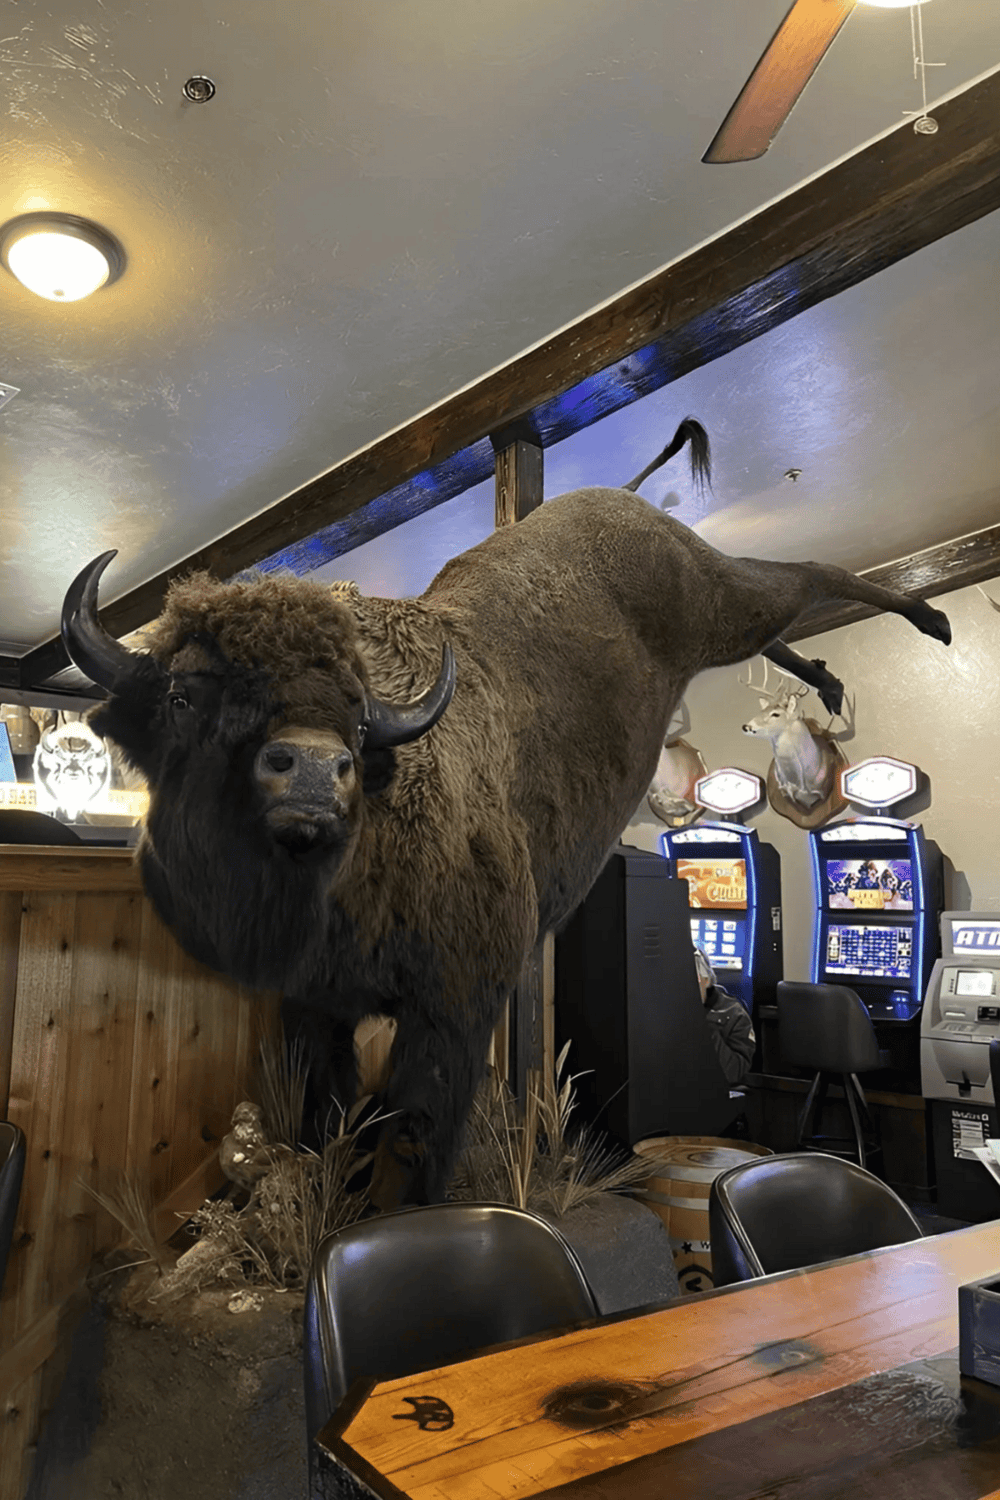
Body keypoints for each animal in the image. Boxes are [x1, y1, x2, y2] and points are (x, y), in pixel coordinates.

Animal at [60, 421, 951, 1208]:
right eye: (184, 696)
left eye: (355, 714)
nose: (312, 771)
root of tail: (617, 499)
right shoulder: (319, 1011)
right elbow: (332, 1132)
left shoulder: (455, 1009)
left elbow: (414, 1136)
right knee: (787, 616)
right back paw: (835, 676)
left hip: (720, 599)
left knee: (805, 572)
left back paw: (927, 625)